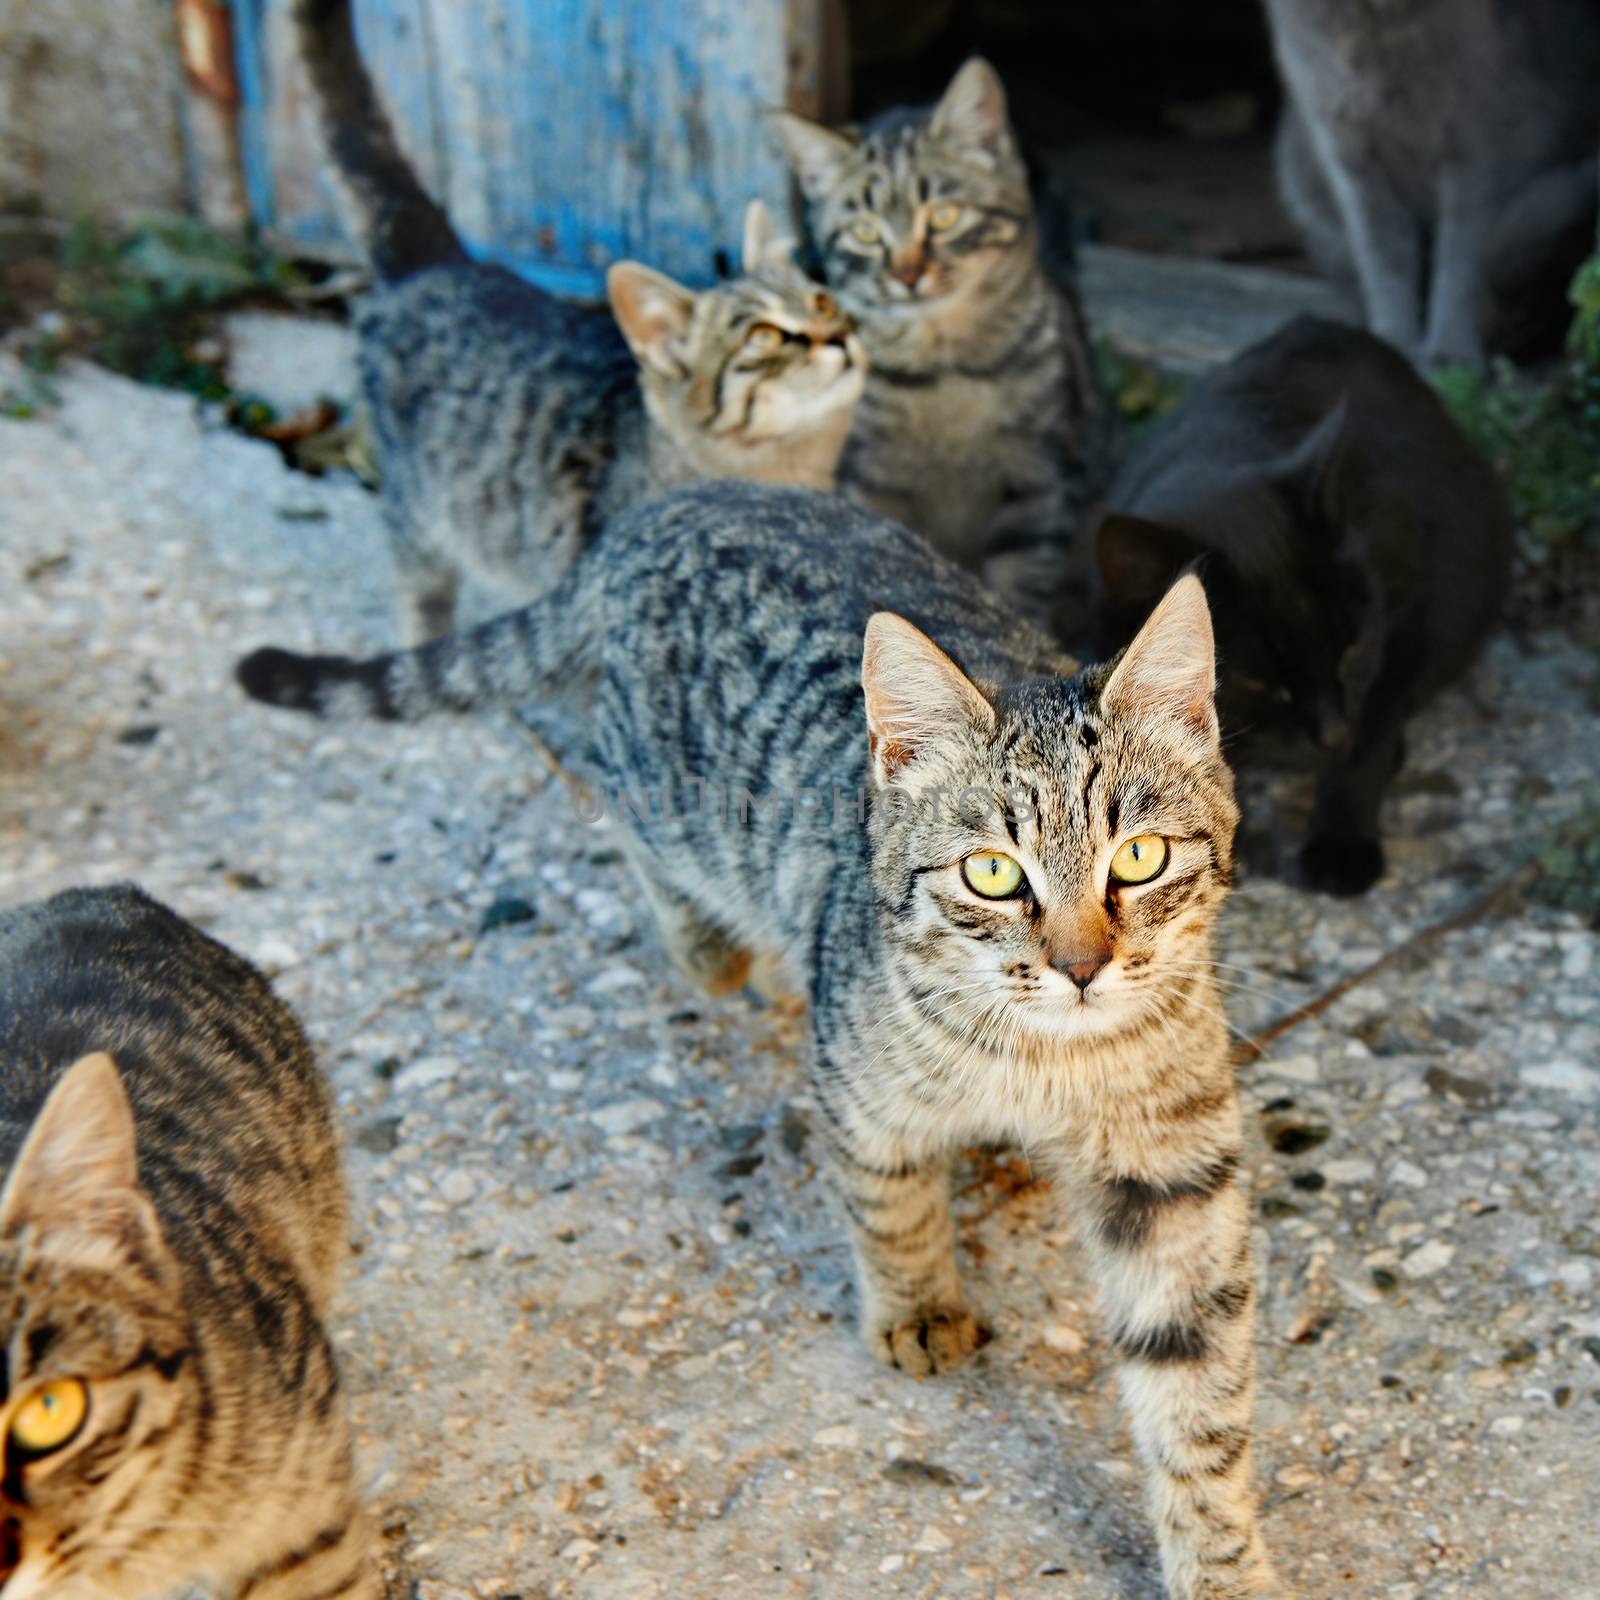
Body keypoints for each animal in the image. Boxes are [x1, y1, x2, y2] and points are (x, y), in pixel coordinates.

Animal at [236, 476, 1280, 1600]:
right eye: (994, 874)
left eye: (1137, 857)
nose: (1081, 966)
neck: (1043, 1061)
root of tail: (670, 506)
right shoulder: (859, 1084)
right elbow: (890, 1201)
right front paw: (916, 1303)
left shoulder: (1172, 1171)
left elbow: (1199, 1388)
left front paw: (1222, 1560)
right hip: (666, 798)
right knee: (618, 804)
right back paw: (714, 949)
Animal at [291, 0, 864, 640]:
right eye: (762, 336)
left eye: (822, 303)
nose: (837, 335)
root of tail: (442, 261)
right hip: (418, 516)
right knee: (421, 592)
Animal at [1088, 313, 1510, 902]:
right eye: (1262, 683)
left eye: (1352, 653)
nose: (1331, 734)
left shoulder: (1408, 622)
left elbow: (1367, 742)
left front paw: (1340, 843)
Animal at [1267, 0, 1600, 364]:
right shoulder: (1352, 157)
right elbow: (1384, 260)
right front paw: (1393, 345)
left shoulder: (1477, 149)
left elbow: (1458, 258)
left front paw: (1451, 352)